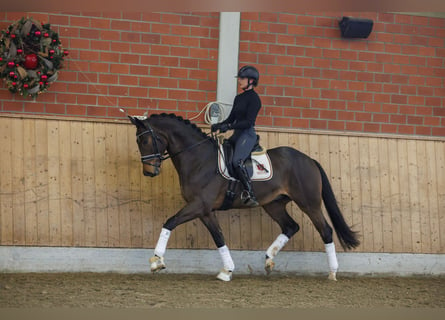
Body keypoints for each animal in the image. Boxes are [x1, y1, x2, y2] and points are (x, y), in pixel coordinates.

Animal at [127, 113, 358, 282]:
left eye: (146, 140)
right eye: (138, 141)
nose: (149, 172)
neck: (199, 159)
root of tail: (309, 159)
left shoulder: (198, 205)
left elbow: (170, 222)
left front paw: (156, 261)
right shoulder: (205, 210)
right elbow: (219, 237)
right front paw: (227, 270)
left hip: (309, 203)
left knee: (325, 230)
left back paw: (332, 272)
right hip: (273, 204)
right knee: (291, 226)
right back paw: (268, 260)